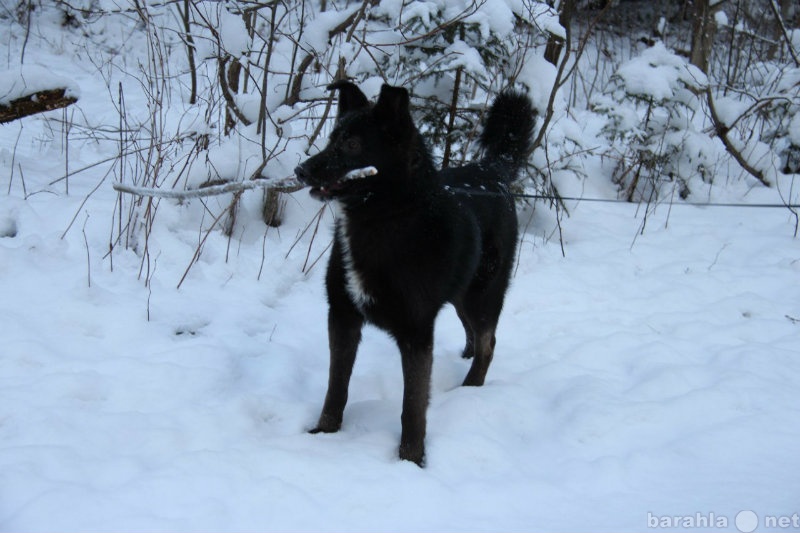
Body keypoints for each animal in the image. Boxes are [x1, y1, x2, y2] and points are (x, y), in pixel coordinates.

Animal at [296, 81, 536, 464]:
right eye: (332, 138)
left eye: (351, 144)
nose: (300, 170)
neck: (384, 219)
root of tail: (492, 170)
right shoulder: (342, 316)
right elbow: (336, 386)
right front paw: (324, 432)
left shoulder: (416, 331)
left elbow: (413, 405)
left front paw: (411, 458)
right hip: (460, 293)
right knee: (472, 330)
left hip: (483, 294)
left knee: (488, 342)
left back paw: (470, 388)